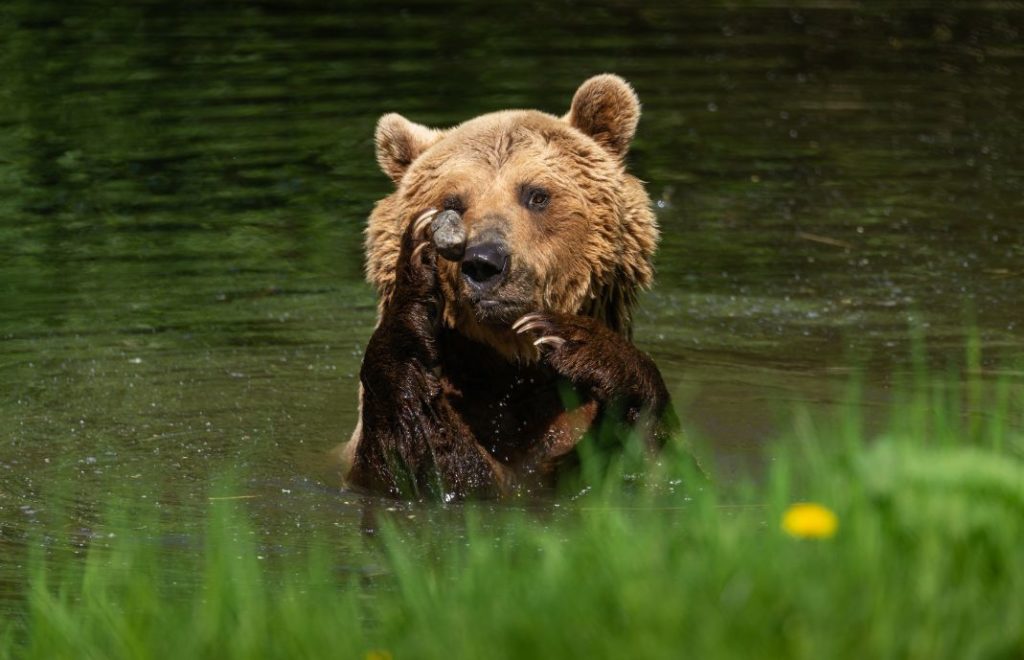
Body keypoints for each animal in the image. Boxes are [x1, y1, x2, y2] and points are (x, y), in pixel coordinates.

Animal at [339, 74, 675, 497]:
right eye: (452, 201)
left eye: (537, 194)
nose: (484, 262)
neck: (508, 369)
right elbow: (424, 465)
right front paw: (414, 277)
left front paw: (575, 341)